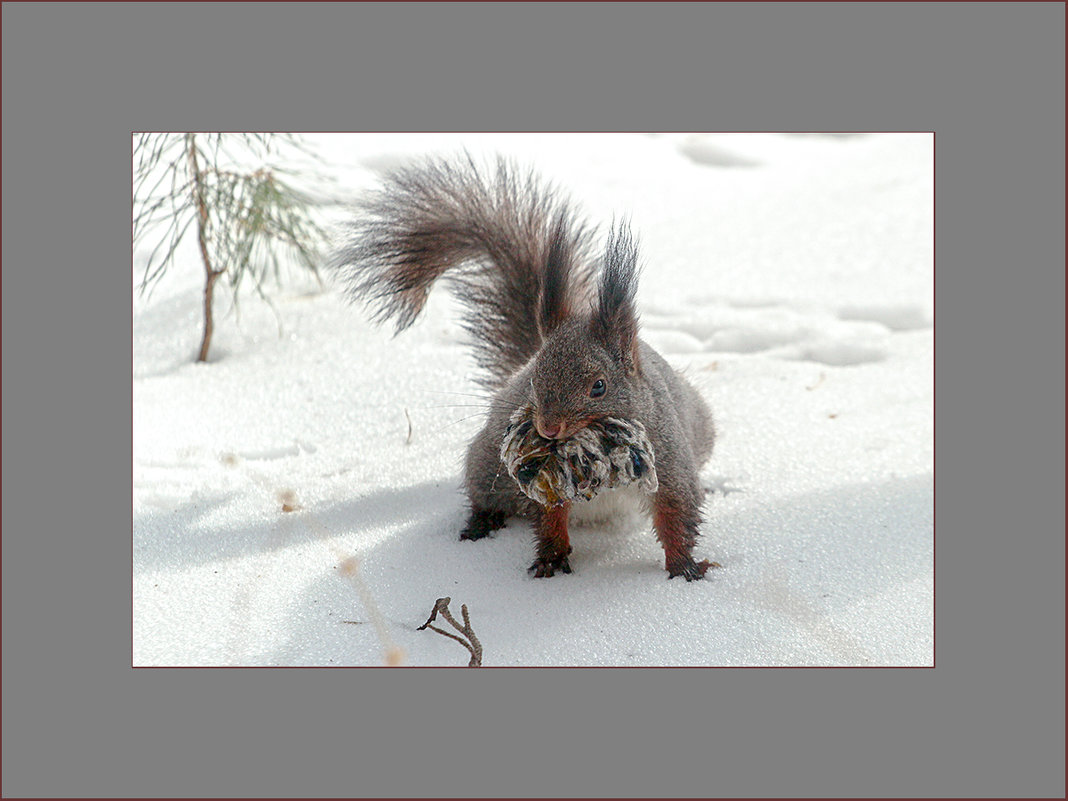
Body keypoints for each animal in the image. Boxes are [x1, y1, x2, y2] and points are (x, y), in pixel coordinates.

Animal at [333, 156, 717, 580]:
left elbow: (677, 514)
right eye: (534, 378)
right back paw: (479, 526)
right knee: (485, 498)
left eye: (599, 386)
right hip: (488, 465)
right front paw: (550, 557)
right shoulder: (544, 478)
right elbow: (549, 516)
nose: (548, 428)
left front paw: (685, 568)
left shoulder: (670, 461)